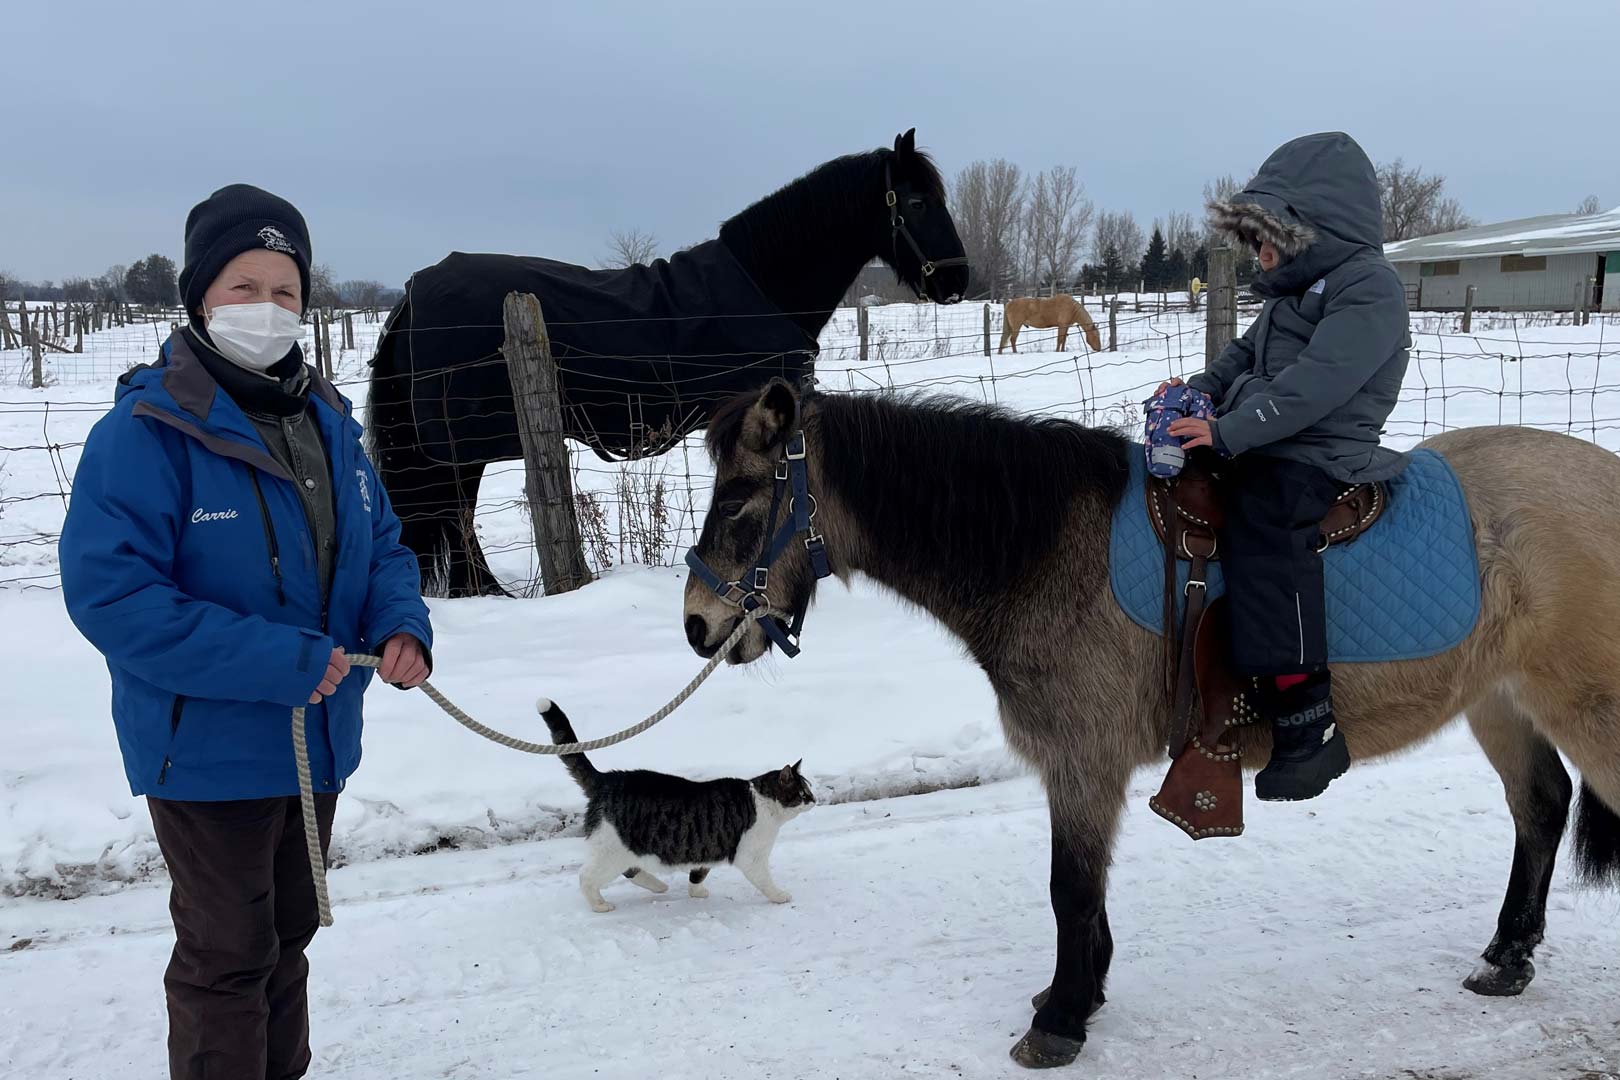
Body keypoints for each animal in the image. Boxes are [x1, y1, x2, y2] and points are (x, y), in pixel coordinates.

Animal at [366, 129, 969, 598]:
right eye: (917, 202)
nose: (958, 279)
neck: (762, 287)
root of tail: (413, 295)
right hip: (459, 450)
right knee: (455, 520)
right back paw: (485, 592)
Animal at [680, 378, 1620, 1070]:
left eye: (739, 501)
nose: (695, 624)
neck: (1048, 552)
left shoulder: (1082, 761)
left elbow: (1068, 890)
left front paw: (1060, 1021)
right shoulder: (1084, 768)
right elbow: (1087, 895)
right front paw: (1082, 995)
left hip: (1584, 706)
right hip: (1499, 699)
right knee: (1541, 807)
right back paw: (1506, 958)